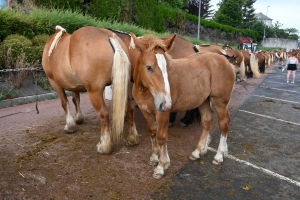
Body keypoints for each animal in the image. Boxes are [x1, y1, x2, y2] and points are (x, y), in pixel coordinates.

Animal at [41, 26, 139, 155]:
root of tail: (109, 37)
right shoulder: (74, 85)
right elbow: (75, 99)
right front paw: (78, 118)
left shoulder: (54, 83)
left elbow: (64, 103)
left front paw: (70, 126)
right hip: (125, 87)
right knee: (130, 108)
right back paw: (132, 138)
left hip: (94, 91)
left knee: (103, 113)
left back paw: (104, 146)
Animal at [130, 33, 236, 180]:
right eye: (149, 67)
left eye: (168, 67)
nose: (166, 103)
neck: (145, 91)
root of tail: (225, 60)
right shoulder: (146, 111)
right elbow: (152, 132)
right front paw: (154, 158)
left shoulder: (162, 114)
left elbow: (161, 137)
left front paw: (161, 166)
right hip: (203, 101)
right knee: (207, 120)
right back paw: (198, 152)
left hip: (220, 101)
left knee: (223, 123)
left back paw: (219, 155)